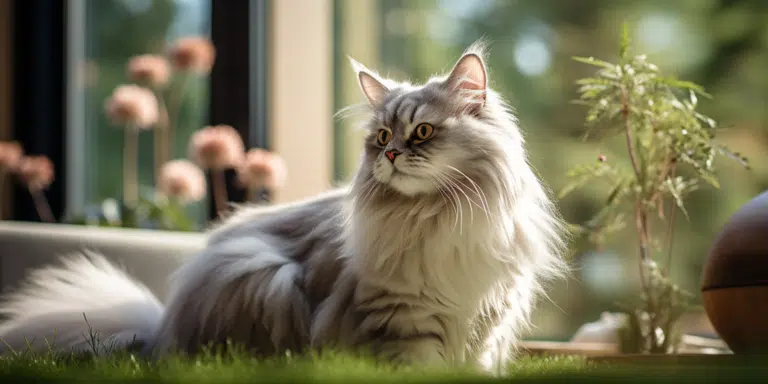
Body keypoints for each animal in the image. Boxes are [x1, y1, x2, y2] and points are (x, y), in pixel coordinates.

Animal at [0, 42, 568, 372]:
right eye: (383, 136)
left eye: (424, 131)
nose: (389, 154)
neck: (436, 217)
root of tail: (161, 328)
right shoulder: (405, 317)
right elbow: (422, 364)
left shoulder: (487, 317)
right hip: (262, 273)